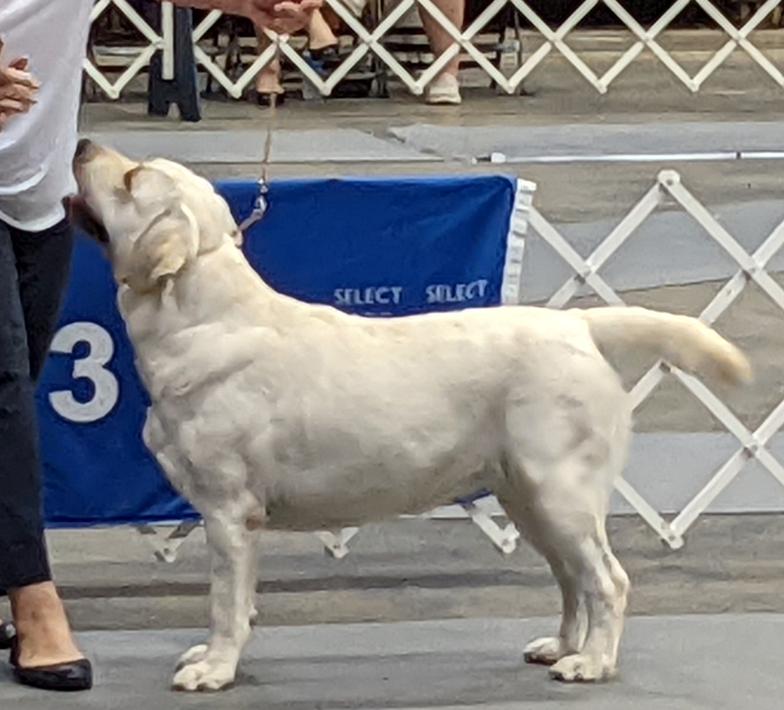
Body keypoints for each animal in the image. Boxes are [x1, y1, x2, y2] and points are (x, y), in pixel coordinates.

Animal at [72, 142, 748, 692]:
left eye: (131, 178)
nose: (82, 144)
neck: (200, 316)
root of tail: (578, 325)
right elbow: (240, 603)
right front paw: (214, 657)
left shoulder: (229, 512)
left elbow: (222, 603)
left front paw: (214, 669)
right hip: (527, 499)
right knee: (570, 579)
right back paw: (560, 647)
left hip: (561, 492)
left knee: (607, 580)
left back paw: (592, 663)